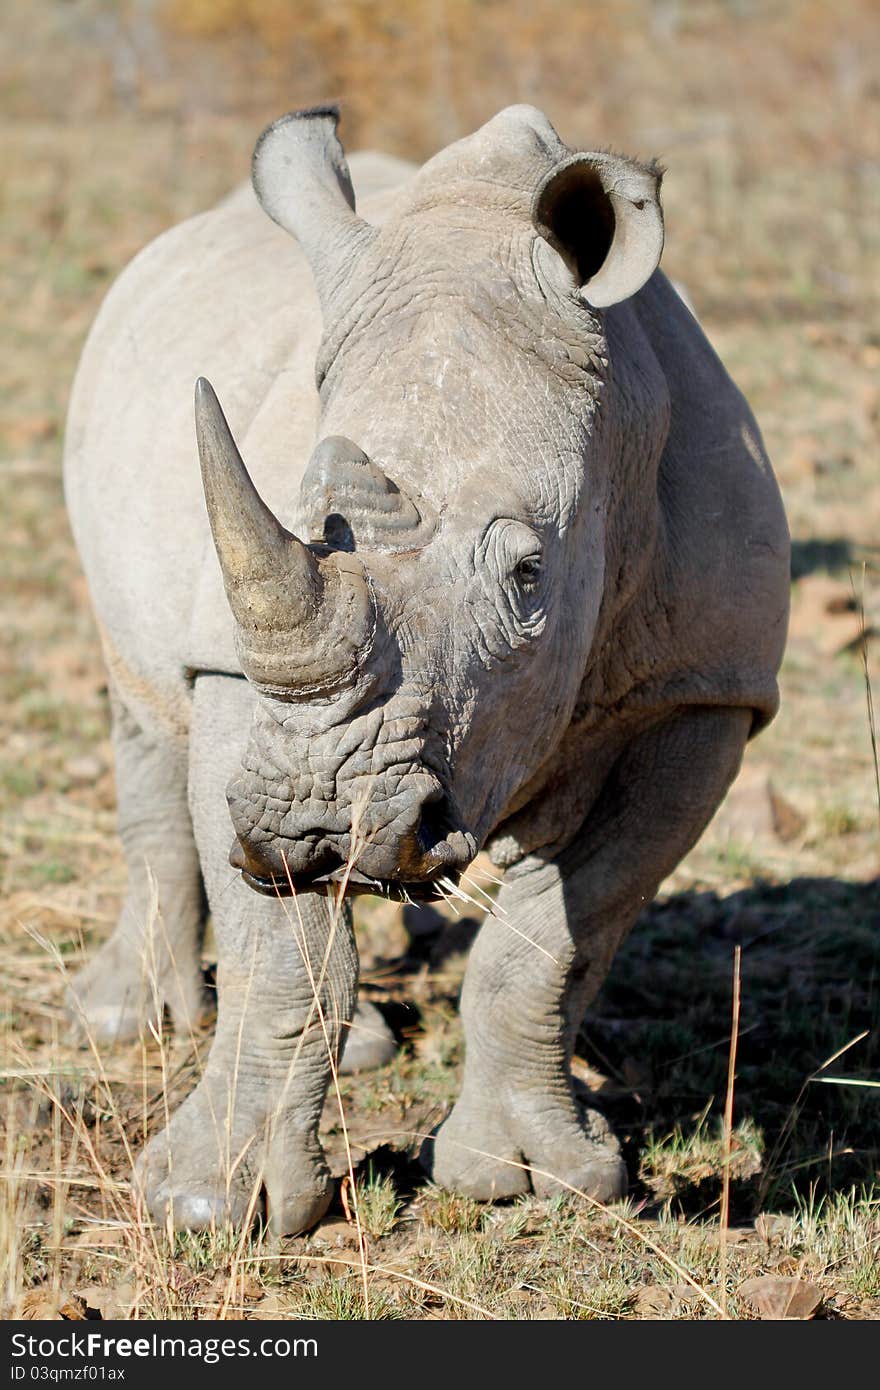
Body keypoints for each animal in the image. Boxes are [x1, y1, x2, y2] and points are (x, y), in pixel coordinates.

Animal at [63, 102, 789, 1228]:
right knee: (139, 700)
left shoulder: (702, 691)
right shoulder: (238, 673)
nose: (314, 830)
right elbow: (281, 950)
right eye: (307, 521)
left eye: (530, 574)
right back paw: (122, 1020)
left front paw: (536, 1180)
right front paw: (206, 1205)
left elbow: (557, 936)